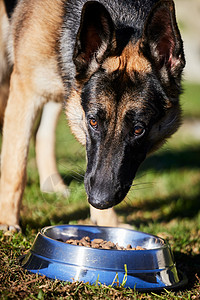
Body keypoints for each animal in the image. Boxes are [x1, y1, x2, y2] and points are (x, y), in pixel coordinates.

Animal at [0, 0, 184, 232]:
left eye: (138, 129)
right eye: (93, 121)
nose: (99, 200)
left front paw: (108, 224)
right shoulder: (26, 91)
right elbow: (15, 165)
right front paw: (7, 222)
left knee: (44, 134)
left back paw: (52, 185)